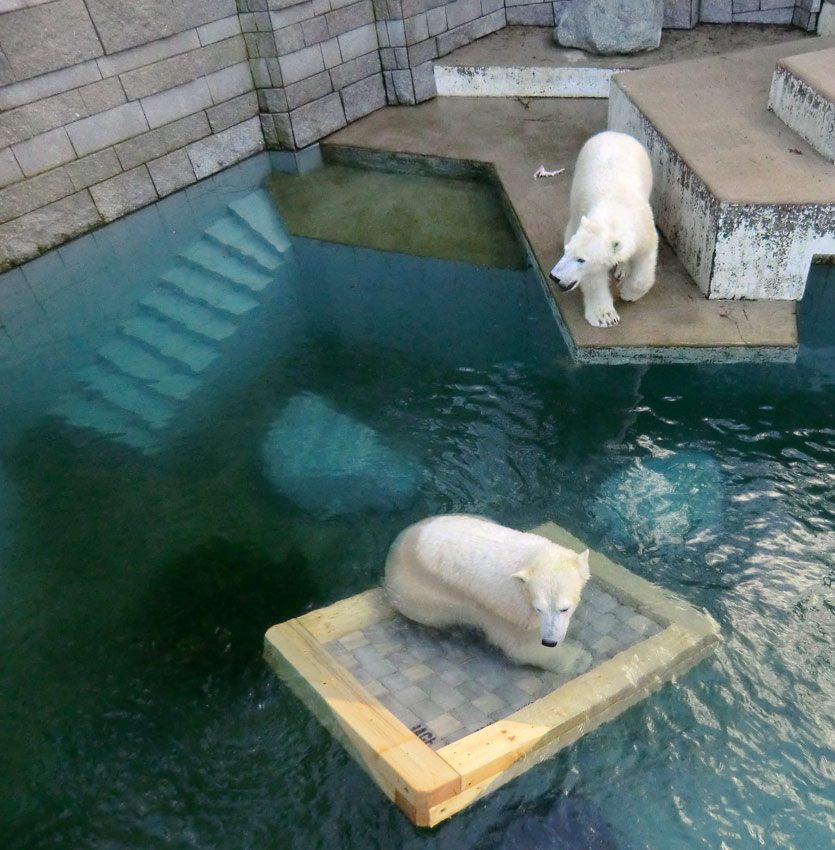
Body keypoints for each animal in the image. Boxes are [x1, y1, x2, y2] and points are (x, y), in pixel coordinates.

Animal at [386, 512, 596, 672]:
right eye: (539, 609)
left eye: (564, 608)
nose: (549, 641)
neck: (530, 558)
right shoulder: (507, 607)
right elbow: (520, 646)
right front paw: (579, 658)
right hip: (421, 594)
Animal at [548, 129, 660, 328]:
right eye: (567, 251)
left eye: (581, 259)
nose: (555, 277)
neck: (615, 209)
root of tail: (616, 133)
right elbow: (594, 278)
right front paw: (605, 317)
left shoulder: (644, 229)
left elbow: (645, 262)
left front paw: (627, 293)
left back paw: (623, 269)